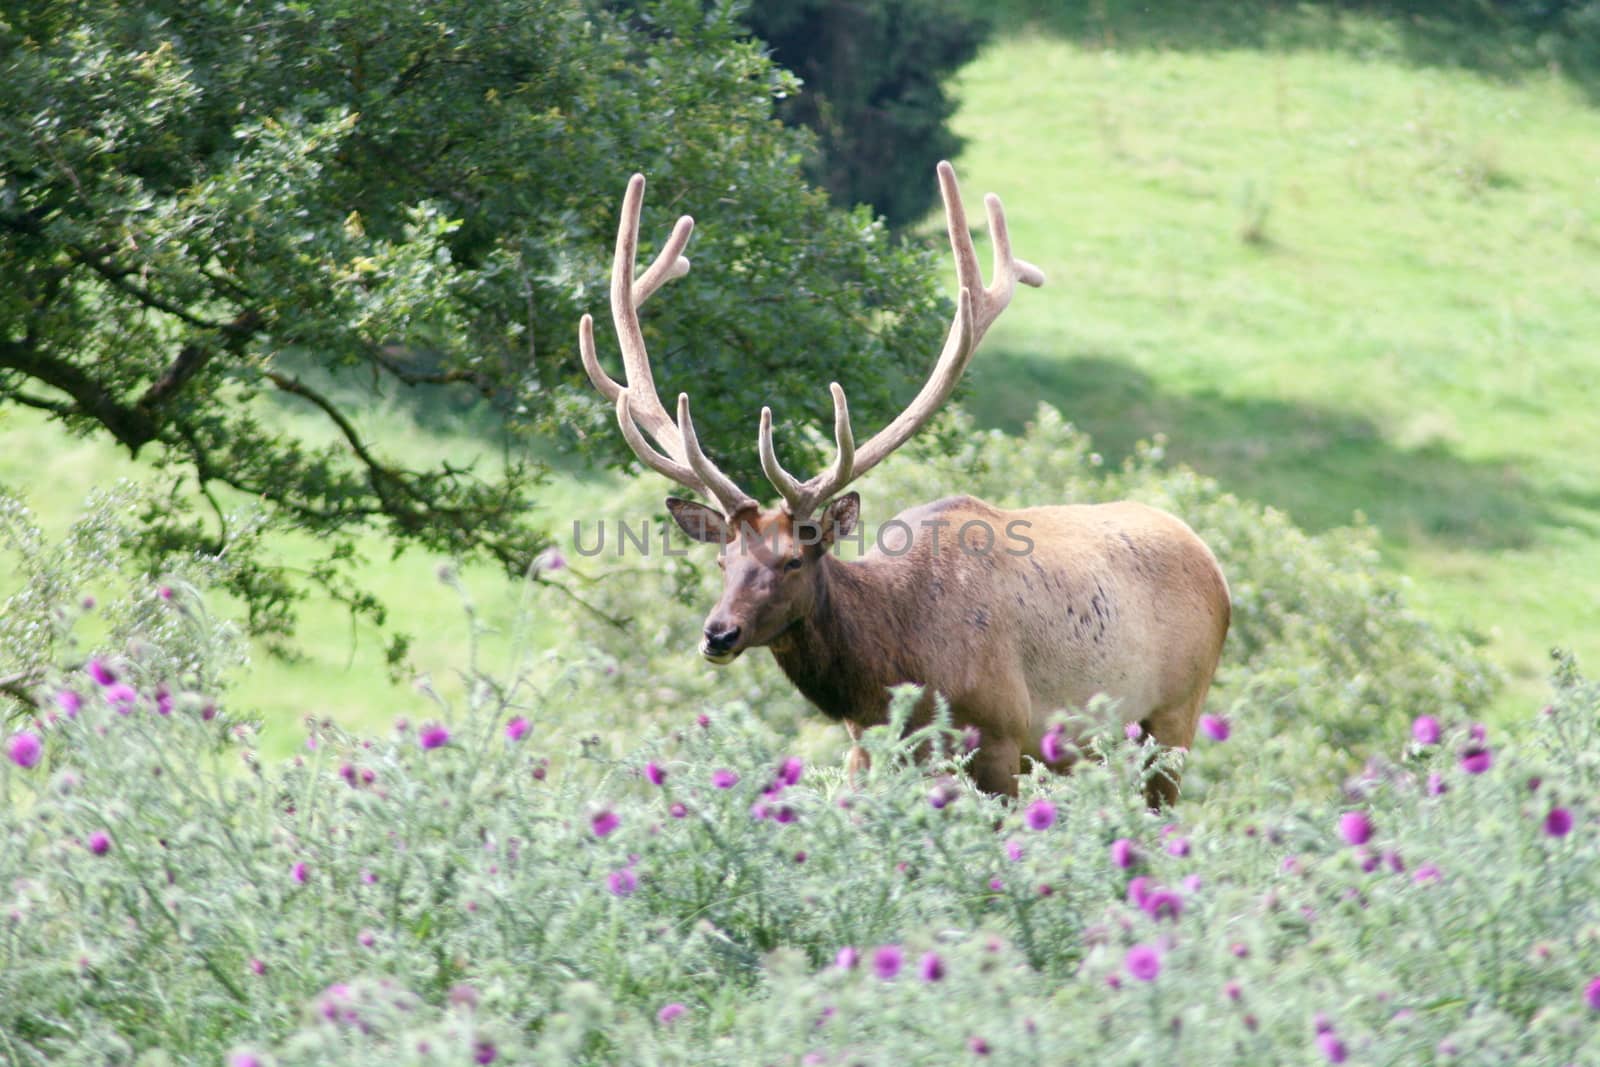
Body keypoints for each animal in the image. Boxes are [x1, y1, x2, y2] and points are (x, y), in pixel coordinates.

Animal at [582, 163, 1228, 806]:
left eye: (794, 560)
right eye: (723, 560)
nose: (718, 633)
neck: (895, 674)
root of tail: (1211, 562)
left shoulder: (1005, 738)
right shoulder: (865, 750)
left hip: (1174, 719)